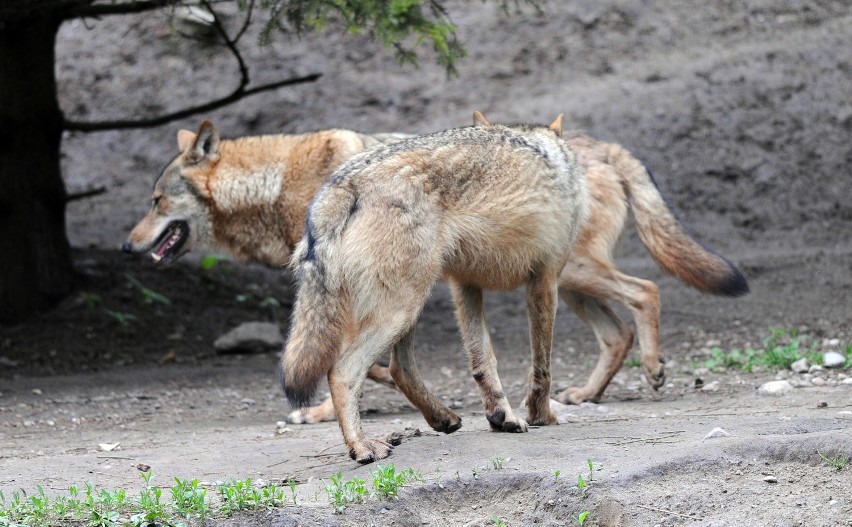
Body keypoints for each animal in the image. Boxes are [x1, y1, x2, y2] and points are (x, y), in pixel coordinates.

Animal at [282, 116, 588, 462]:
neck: (556, 156)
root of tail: (342, 184)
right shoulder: (545, 280)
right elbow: (542, 367)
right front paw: (542, 416)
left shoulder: (466, 284)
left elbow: (483, 360)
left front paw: (502, 417)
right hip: (404, 306)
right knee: (343, 372)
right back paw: (362, 446)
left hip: (407, 305)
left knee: (399, 368)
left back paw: (442, 418)